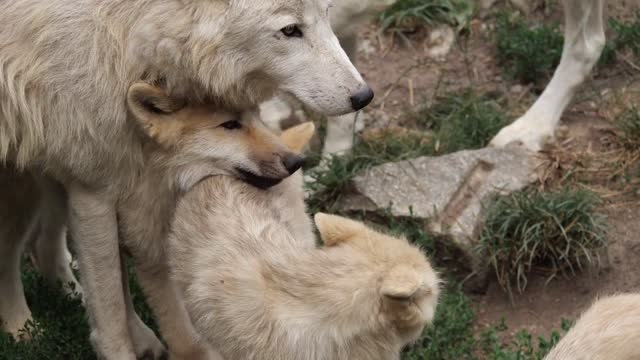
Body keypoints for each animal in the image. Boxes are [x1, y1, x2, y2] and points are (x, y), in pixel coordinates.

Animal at [0, 1, 372, 358]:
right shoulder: (93, 185)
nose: (364, 96)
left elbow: (122, 283)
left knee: (41, 246)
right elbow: (110, 304)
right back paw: (23, 330)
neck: (124, 29)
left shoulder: (117, 175)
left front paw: (148, 339)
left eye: (326, 14)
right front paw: (126, 347)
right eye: (290, 29)